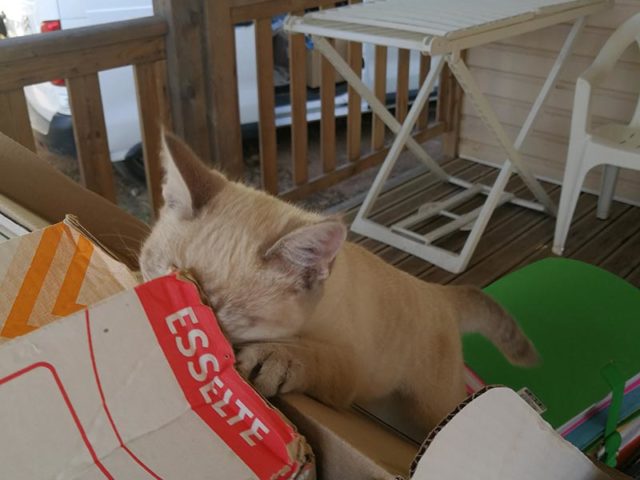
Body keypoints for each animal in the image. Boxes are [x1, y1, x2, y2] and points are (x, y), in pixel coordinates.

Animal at [139, 132, 539, 430]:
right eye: (158, 275)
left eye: (216, 313)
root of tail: (437, 291)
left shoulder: (352, 373)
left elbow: (316, 358)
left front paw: (273, 359)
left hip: (429, 405)